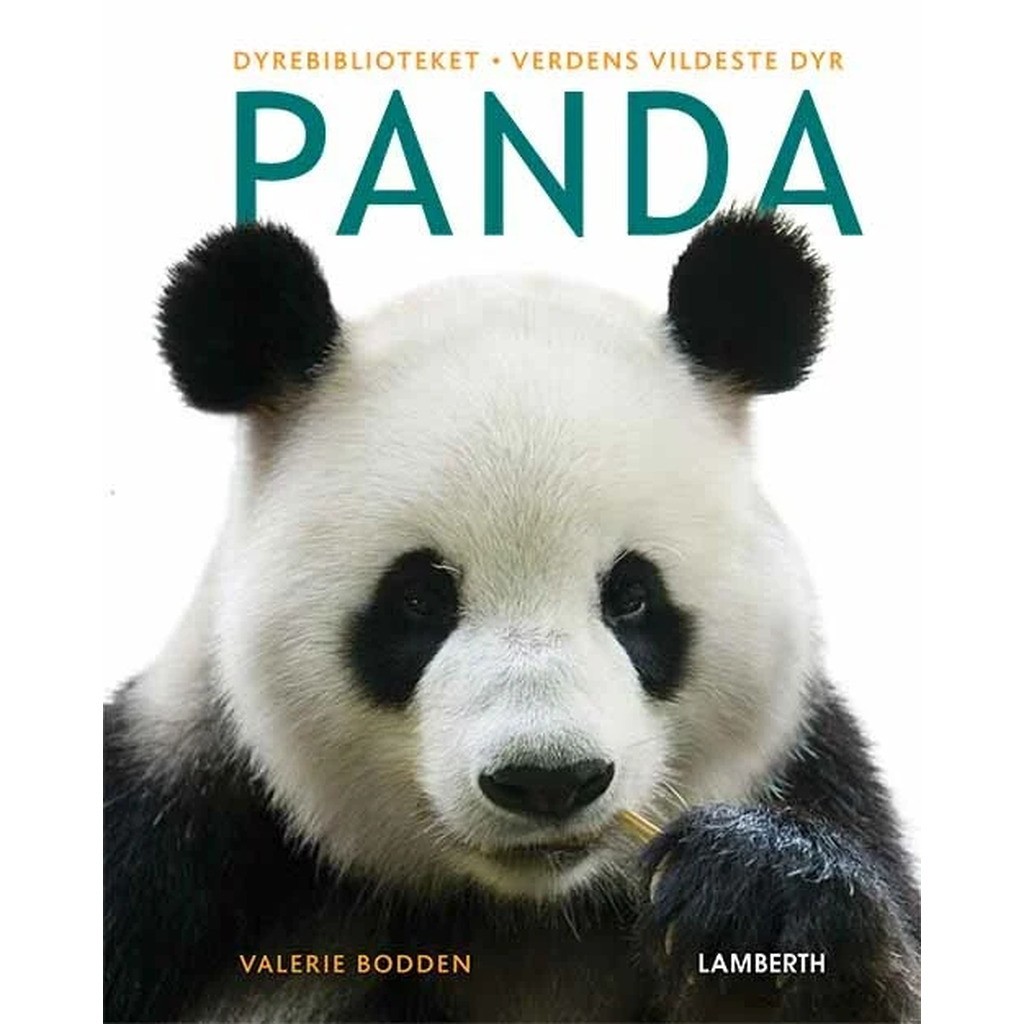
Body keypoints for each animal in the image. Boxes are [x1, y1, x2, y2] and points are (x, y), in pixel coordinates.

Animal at [104, 207, 920, 1023]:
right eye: (418, 601)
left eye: (632, 596)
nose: (548, 781)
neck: (522, 908)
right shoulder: (172, 842)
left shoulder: (814, 773)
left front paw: (758, 895)